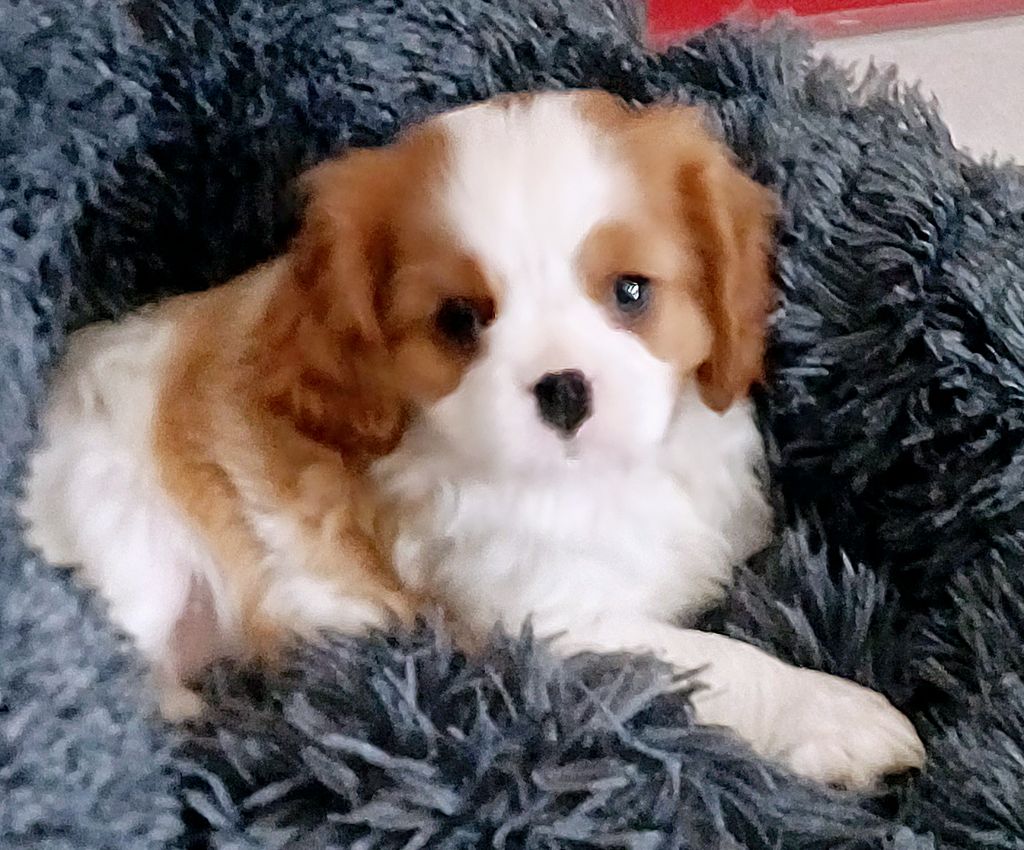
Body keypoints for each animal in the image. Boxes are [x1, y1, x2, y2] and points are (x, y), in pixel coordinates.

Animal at [20, 90, 924, 788]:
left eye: (632, 292)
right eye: (459, 319)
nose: (564, 388)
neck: (596, 482)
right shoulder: (556, 626)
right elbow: (719, 664)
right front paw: (835, 713)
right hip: (125, 547)